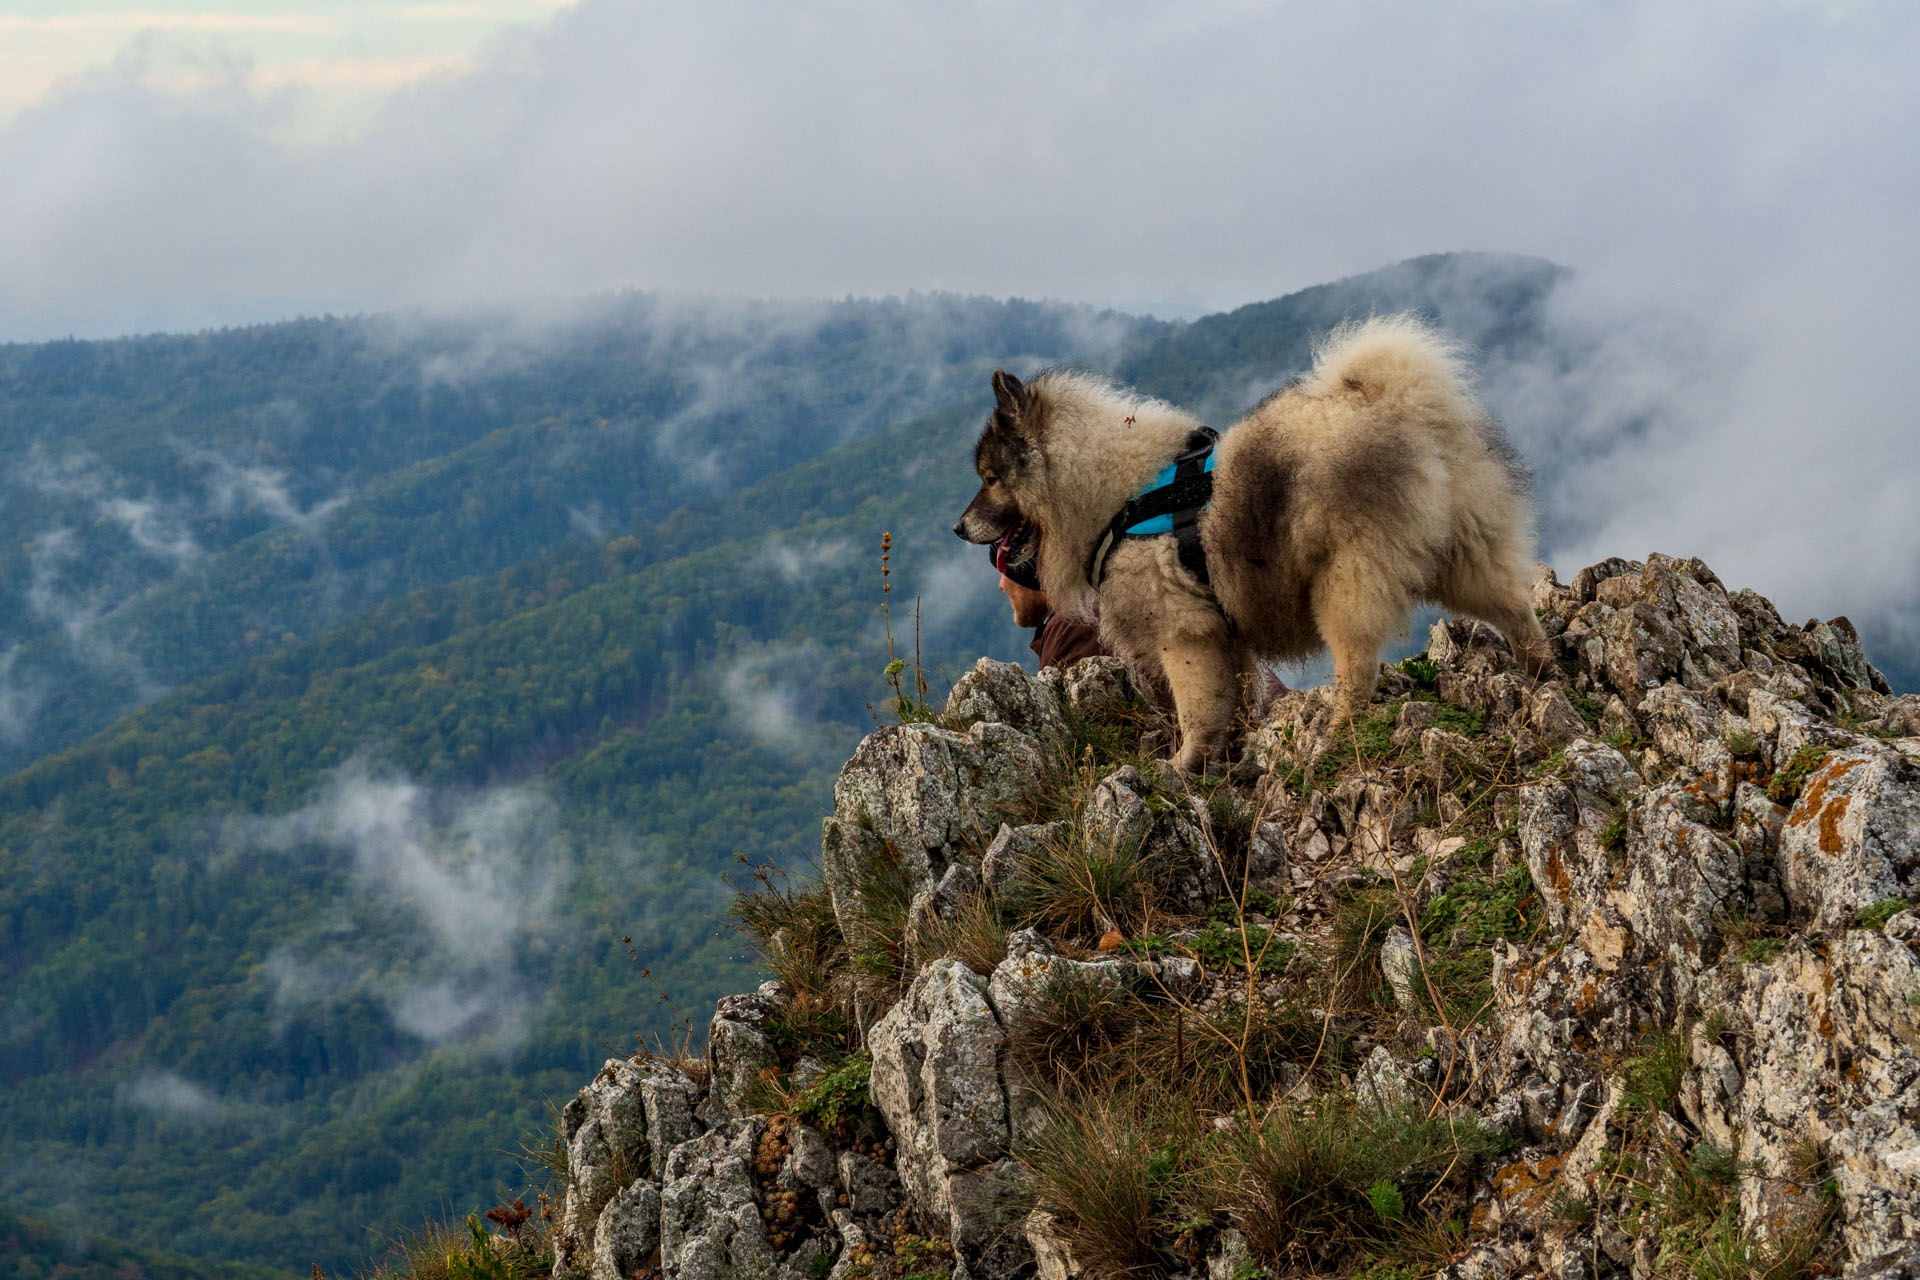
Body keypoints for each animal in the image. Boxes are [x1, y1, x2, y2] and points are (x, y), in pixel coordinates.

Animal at [952, 312, 1551, 771]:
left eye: (990, 478)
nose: (957, 528)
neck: (1117, 494)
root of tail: (1401, 406)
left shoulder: (1184, 634)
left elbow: (1196, 709)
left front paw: (1184, 765)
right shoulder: (1225, 635)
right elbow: (1233, 700)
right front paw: (1228, 752)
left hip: (1346, 578)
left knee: (1357, 667)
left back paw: (1337, 734)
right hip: (1463, 554)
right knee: (1515, 609)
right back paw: (1542, 672)